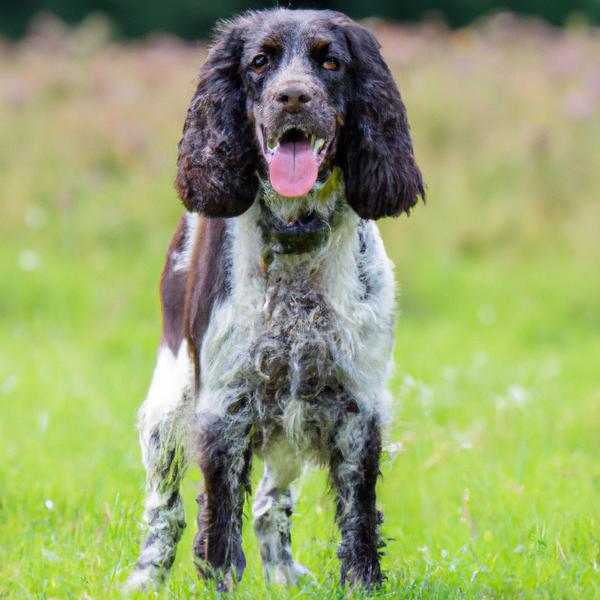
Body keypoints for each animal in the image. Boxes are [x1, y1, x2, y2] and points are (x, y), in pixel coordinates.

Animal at [125, 7, 424, 592]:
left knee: (270, 501)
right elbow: (218, 521)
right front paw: (219, 585)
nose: (293, 96)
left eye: (330, 61)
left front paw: (362, 584)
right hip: (169, 405)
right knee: (165, 507)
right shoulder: (223, 407)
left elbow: (358, 513)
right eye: (260, 61)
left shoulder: (357, 403)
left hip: (289, 423)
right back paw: (146, 576)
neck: (296, 239)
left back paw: (284, 572)